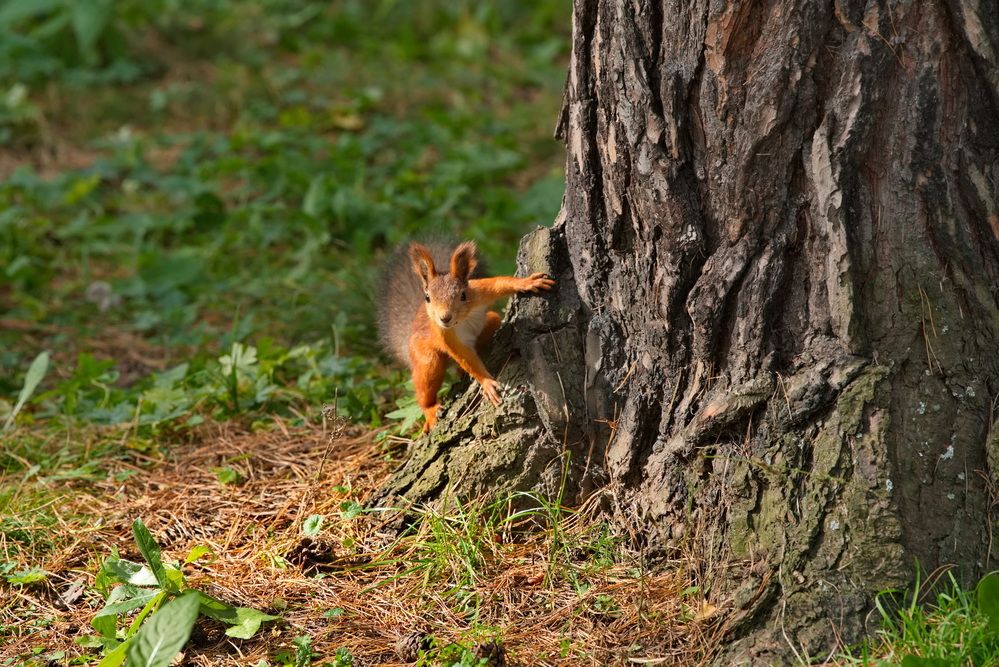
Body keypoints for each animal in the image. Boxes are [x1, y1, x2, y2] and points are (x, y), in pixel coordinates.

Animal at [377, 240, 555, 433]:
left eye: (462, 295)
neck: (461, 320)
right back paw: (430, 410)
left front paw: (526, 282)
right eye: (427, 298)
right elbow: (466, 358)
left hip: (491, 320)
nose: (444, 318)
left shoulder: (478, 291)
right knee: (425, 386)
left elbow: (499, 283)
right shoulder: (445, 335)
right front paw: (486, 382)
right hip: (425, 357)